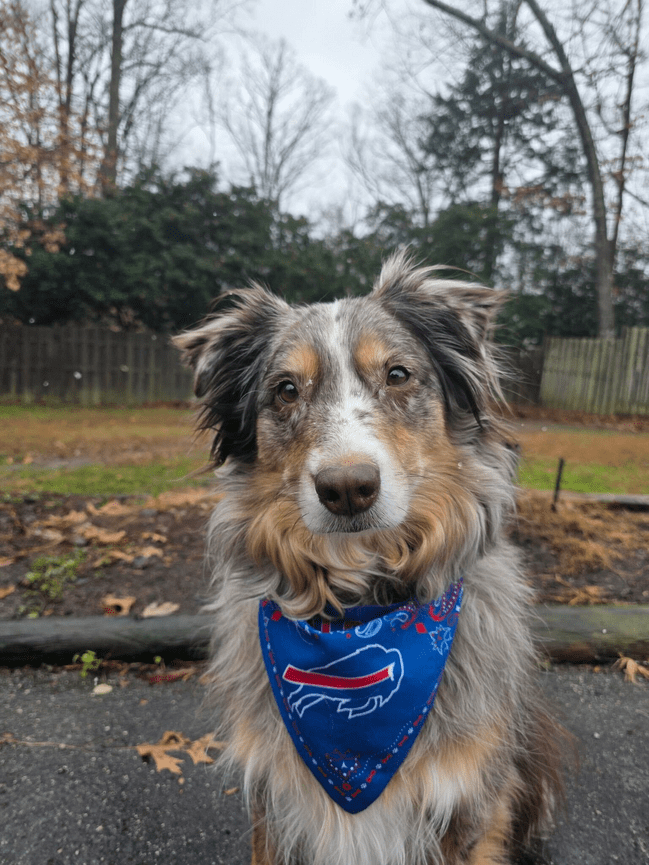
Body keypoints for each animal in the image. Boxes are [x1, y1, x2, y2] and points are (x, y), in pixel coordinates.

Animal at [174, 252, 566, 865]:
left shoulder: (466, 801)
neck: (360, 607)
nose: (347, 489)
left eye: (398, 375)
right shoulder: (273, 798)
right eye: (286, 390)